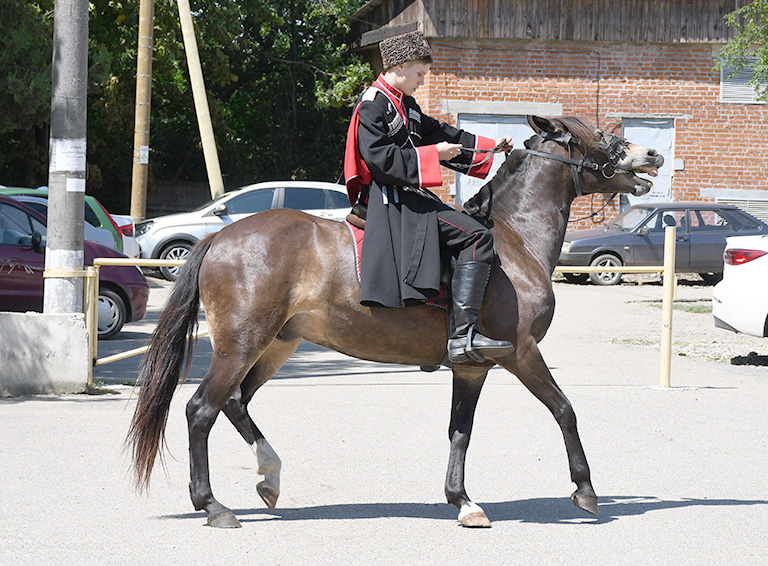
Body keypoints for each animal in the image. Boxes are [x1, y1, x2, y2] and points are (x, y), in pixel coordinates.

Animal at [127, 116, 664, 532]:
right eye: (602, 136)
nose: (653, 154)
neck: (514, 240)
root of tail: (218, 237)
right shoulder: (522, 352)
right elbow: (565, 410)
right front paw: (586, 489)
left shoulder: (471, 367)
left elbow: (460, 431)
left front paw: (462, 502)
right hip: (240, 345)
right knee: (201, 410)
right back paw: (213, 505)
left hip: (275, 345)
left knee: (235, 403)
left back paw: (269, 476)